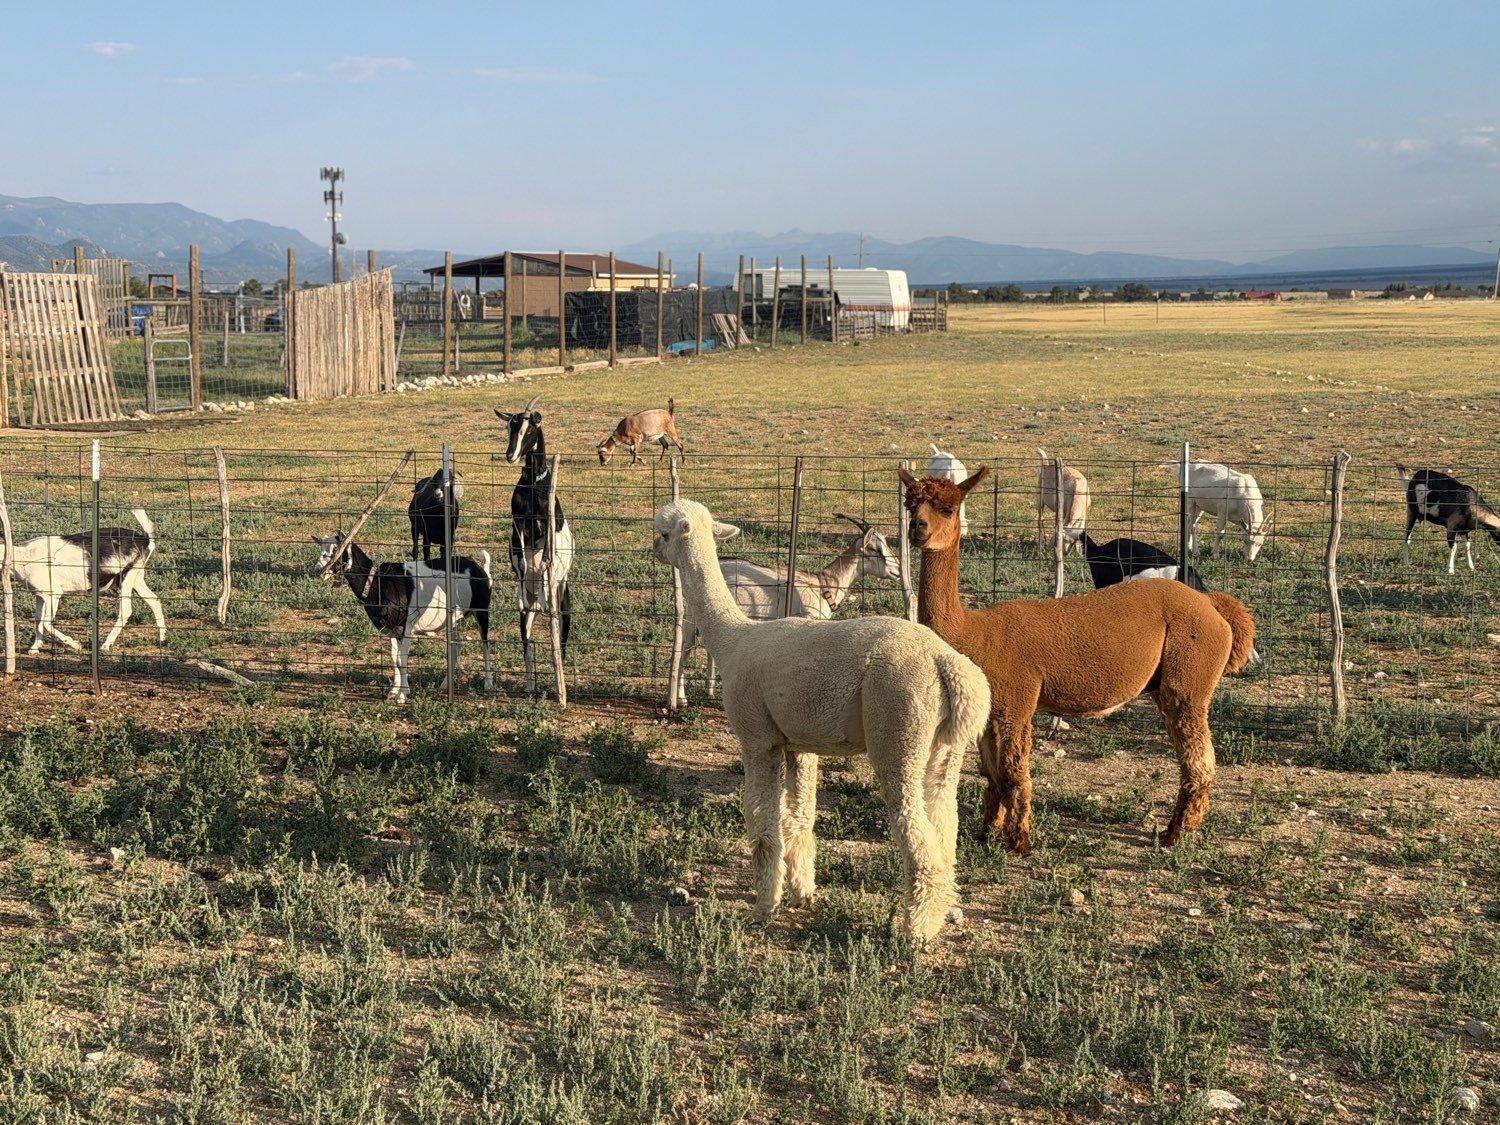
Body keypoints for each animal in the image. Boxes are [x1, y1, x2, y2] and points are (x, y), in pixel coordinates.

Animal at [7, 507, 166, 654]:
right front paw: (34, 647)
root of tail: (145, 540)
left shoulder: (53, 593)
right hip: (135, 577)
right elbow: (38, 619)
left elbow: (45, 622)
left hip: (127, 577)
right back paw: (162, 638)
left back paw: (105, 645)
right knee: (154, 600)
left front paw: (75, 645)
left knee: (126, 610)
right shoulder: (40, 595)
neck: (22, 556)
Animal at [312, 533, 493, 702]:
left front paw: (402, 694)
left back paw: (488, 683)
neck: (377, 582)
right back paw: (444, 684)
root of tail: (481, 569)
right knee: (457, 644)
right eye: (321, 548)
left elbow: (402, 659)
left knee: (485, 644)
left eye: (337, 549)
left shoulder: (405, 626)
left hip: (482, 610)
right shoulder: (390, 628)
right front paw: (394, 690)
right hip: (454, 618)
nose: (318, 570)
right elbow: (394, 658)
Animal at [496, 394, 574, 693]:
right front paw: (522, 578)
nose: (510, 455)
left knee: (560, 642)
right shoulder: (518, 524)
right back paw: (530, 685)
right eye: (510, 426)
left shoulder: (546, 526)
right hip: (525, 616)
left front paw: (541, 580)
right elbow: (520, 556)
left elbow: (545, 557)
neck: (534, 487)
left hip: (563, 604)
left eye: (529, 428)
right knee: (527, 644)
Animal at [654, 497, 989, 942]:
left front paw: (764, 908)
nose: (654, 550)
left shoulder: (757, 737)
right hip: (944, 748)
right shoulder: (799, 742)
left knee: (915, 831)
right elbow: (799, 819)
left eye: (663, 532)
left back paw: (912, 932)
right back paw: (936, 914)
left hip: (899, 728)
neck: (734, 640)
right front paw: (802, 893)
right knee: (945, 825)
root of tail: (946, 663)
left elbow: (762, 824)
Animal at [903, 467, 1255, 855]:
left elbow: (1013, 774)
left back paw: (1174, 834)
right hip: (1167, 686)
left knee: (1199, 761)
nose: (918, 528)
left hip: (1188, 680)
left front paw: (1019, 842)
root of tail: (1211, 603)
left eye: (948, 508)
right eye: (910, 505)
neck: (974, 634)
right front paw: (985, 835)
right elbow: (992, 774)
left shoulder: (1016, 700)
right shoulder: (991, 712)